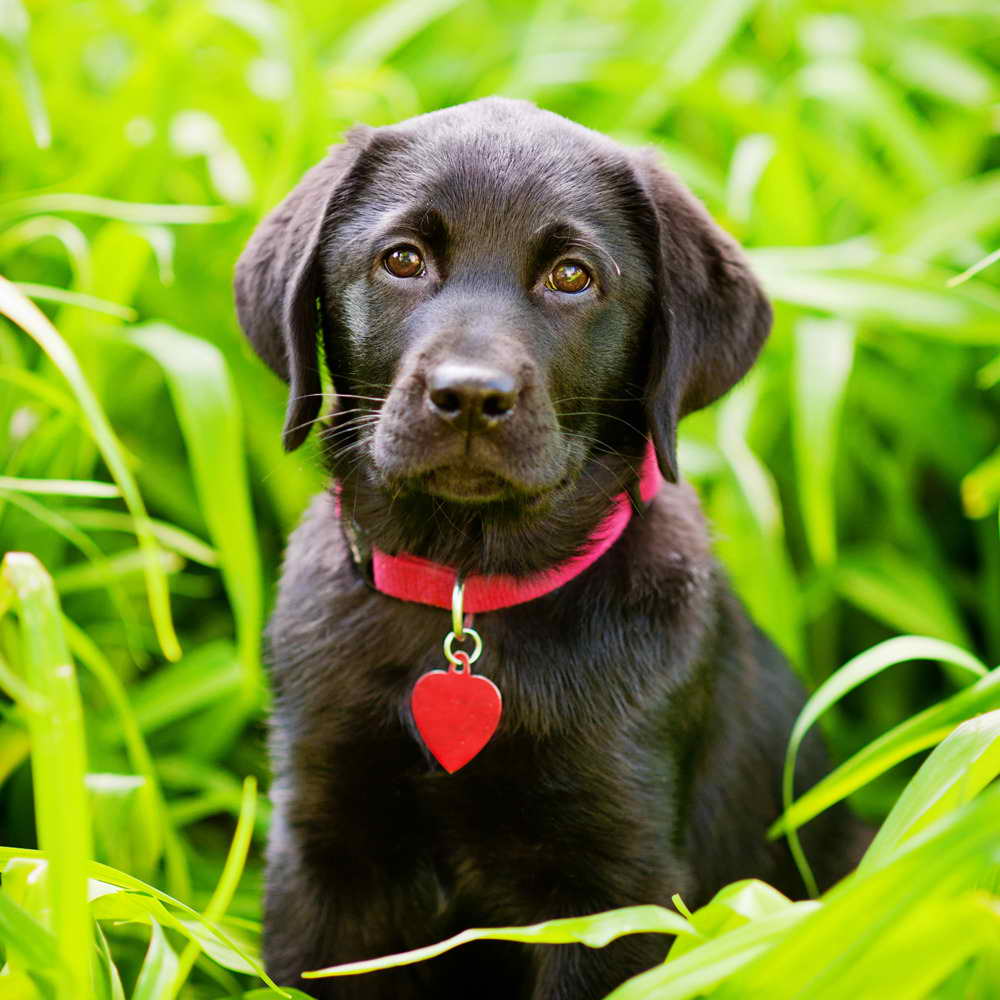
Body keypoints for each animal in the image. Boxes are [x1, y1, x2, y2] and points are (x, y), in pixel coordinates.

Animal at [236, 95, 868, 1000]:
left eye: (572, 276)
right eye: (402, 260)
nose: (469, 395)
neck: (468, 589)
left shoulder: (615, 895)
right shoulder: (323, 857)